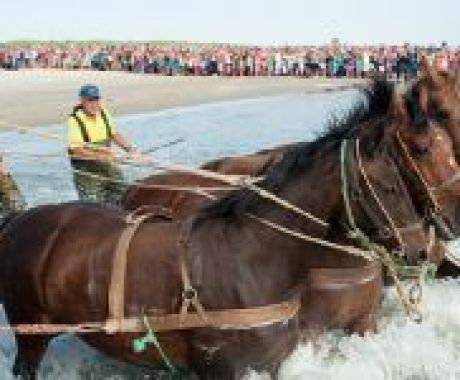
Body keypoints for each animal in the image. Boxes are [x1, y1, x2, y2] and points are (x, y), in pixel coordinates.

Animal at [0, 79, 434, 378]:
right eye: (391, 185)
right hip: (30, 331)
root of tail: (18, 219)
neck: (252, 258)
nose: (419, 248)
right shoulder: (222, 368)